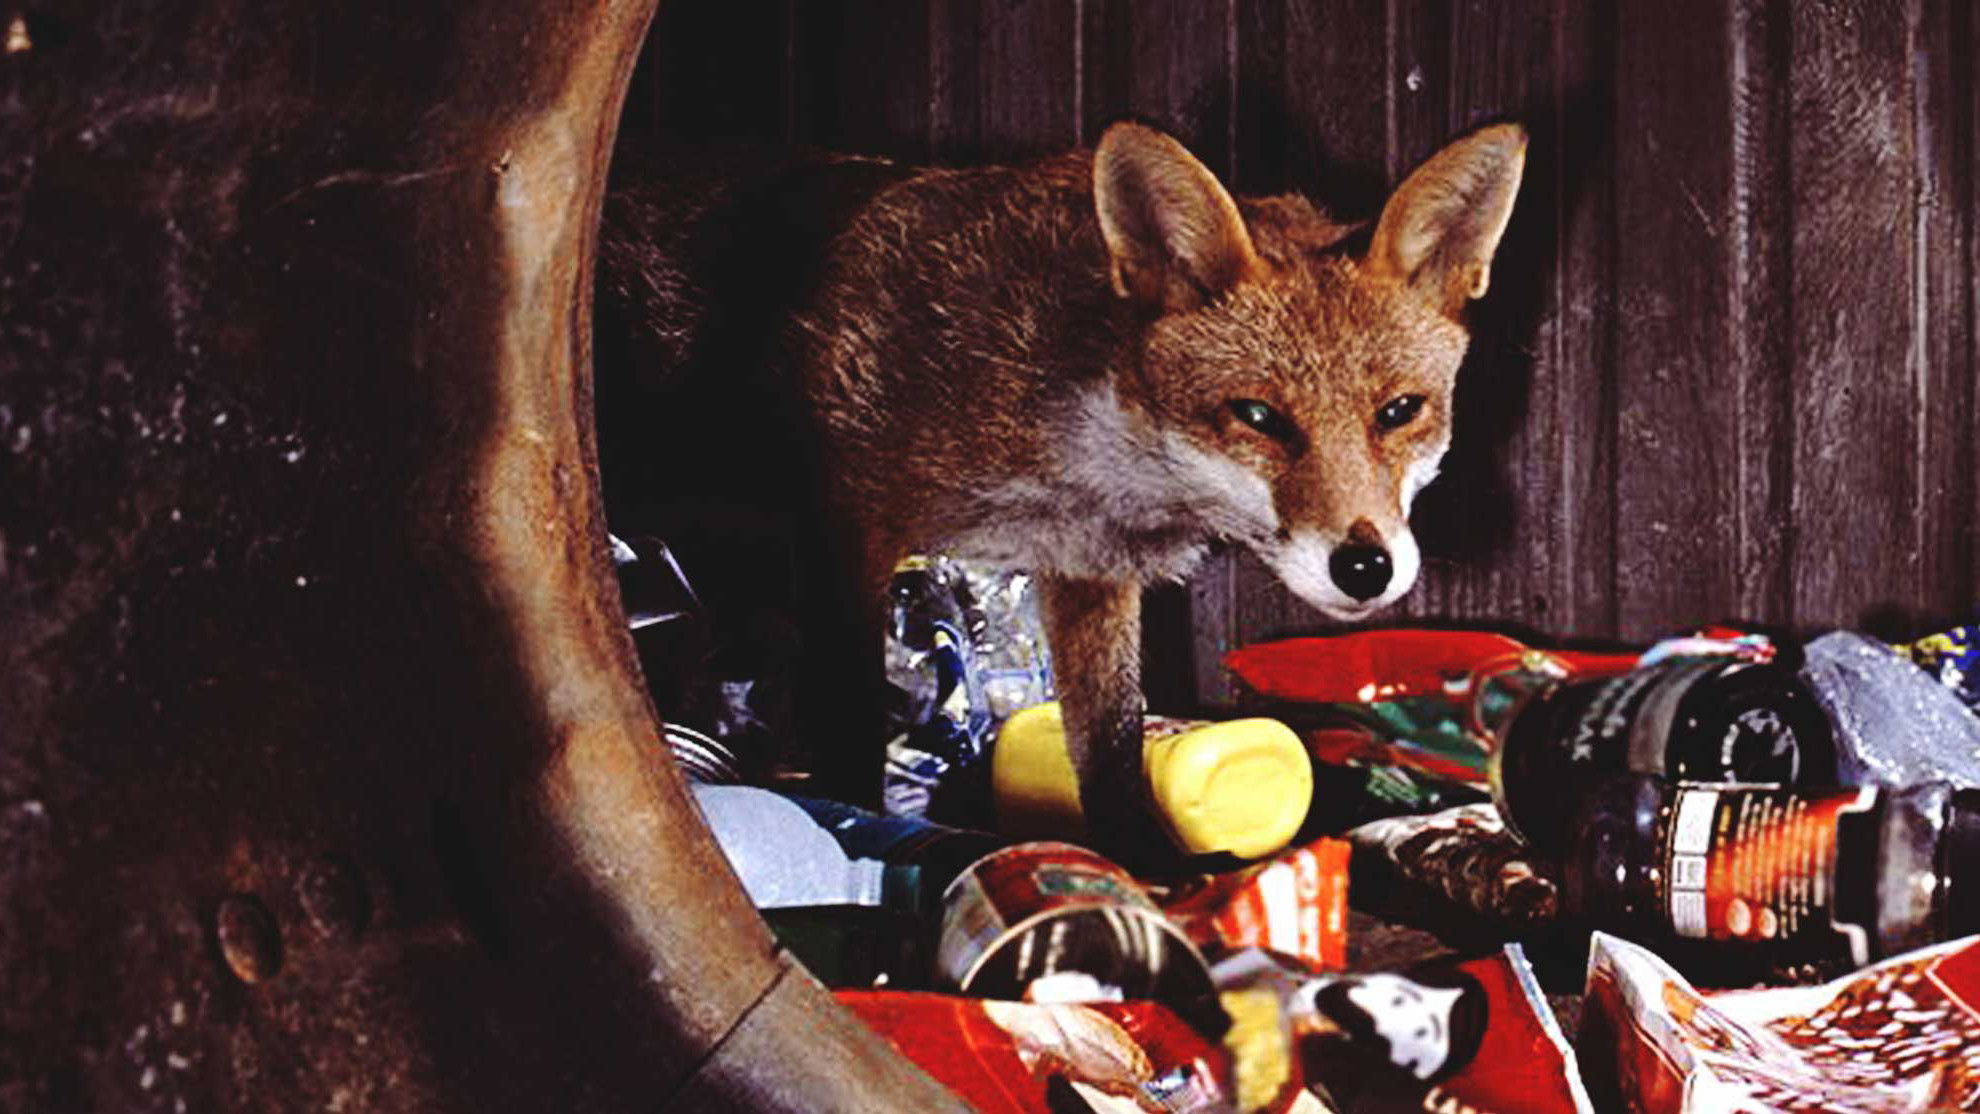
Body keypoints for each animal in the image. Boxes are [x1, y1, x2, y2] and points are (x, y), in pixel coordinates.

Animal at [595, 120, 1527, 867]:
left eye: (1400, 411)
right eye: (1259, 416)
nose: (1365, 568)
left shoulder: (1086, 574)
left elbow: (1109, 749)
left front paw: (1150, 868)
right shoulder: (845, 532)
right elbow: (852, 728)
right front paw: (859, 824)